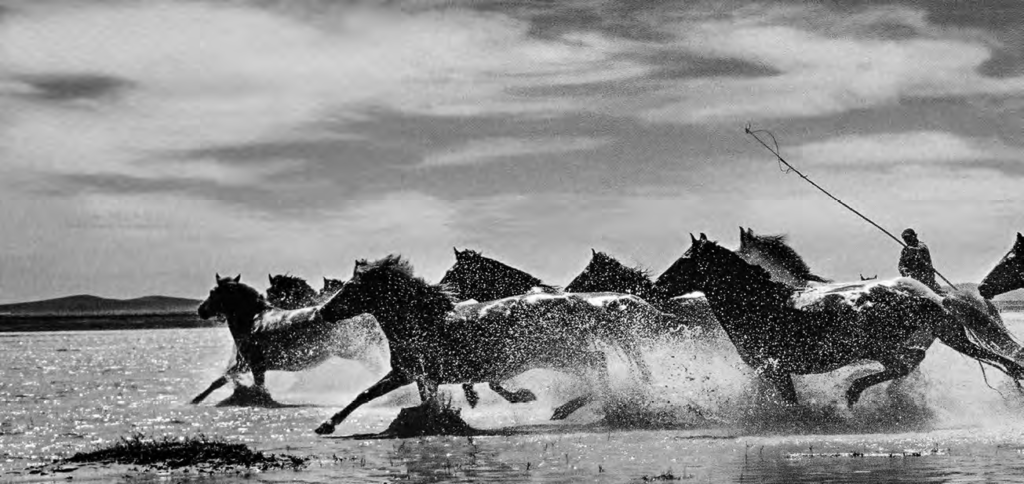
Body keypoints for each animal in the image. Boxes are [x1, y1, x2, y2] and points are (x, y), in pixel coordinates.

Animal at [190, 272, 385, 403]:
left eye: (213, 292)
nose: (200, 310)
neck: (252, 320)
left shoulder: (256, 366)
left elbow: (259, 388)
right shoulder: (243, 364)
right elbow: (219, 380)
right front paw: (195, 400)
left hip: (356, 351)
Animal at [313, 254, 663, 435]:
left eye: (352, 288)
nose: (322, 311)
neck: (422, 321)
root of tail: (572, 300)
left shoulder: (409, 372)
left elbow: (364, 395)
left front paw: (327, 425)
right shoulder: (417, 374)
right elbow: (401, 398)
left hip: (557, 354)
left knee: (599, 364)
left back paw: (575, 408)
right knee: (599, 365)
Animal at [655, 232, 1024, 405]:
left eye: (684, 260)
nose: (655, 286)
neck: (762, 305)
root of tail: (929, 294)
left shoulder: (774, 368)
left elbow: (790, 402)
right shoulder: (767, 371)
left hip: (885, 345)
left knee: (908, 363)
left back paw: (853, 392)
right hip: (931, 339)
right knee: (914, 364)